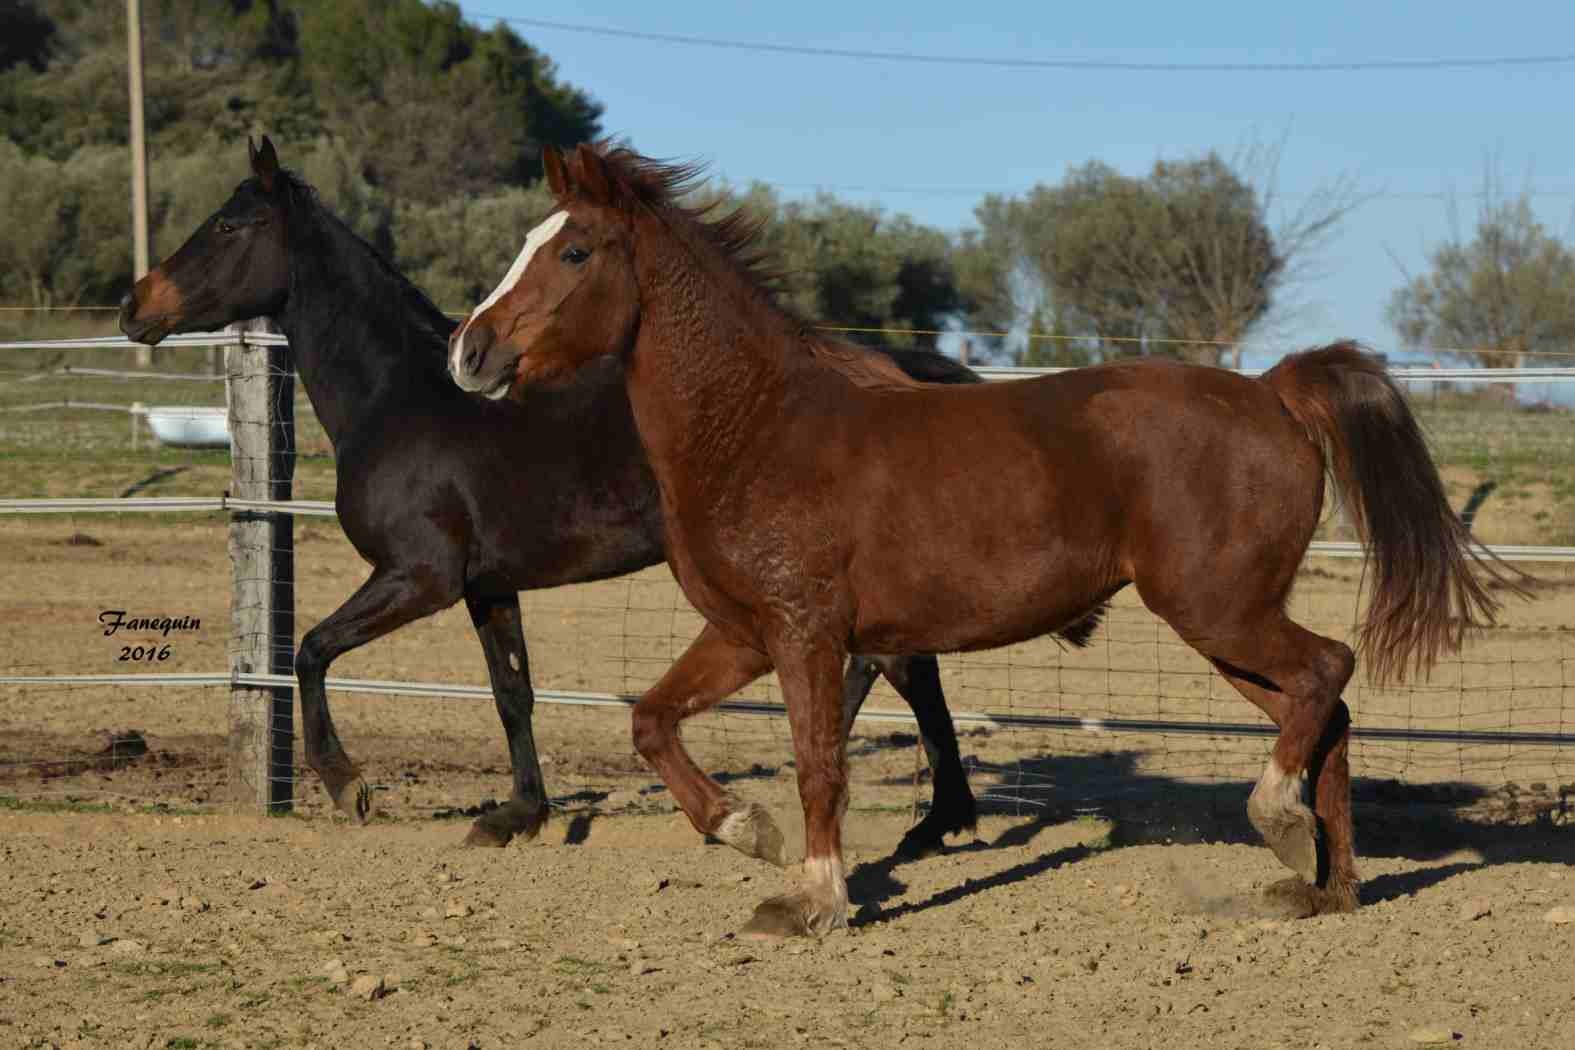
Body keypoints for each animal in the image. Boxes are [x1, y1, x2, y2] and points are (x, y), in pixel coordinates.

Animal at [450, 144, 1530, 938]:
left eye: (574, 252)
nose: (471, 350)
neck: (755, 428)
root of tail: (1274, 392)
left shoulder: (806, 635)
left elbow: (817, 761)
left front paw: (810, 902)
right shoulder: (745, 634)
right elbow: (651, 721)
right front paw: (745, 831)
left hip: (1217, 608)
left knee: (1327, 672)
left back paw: (1278, 825)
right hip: (1226, 625)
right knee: (1327, 707)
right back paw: (1320, 886)